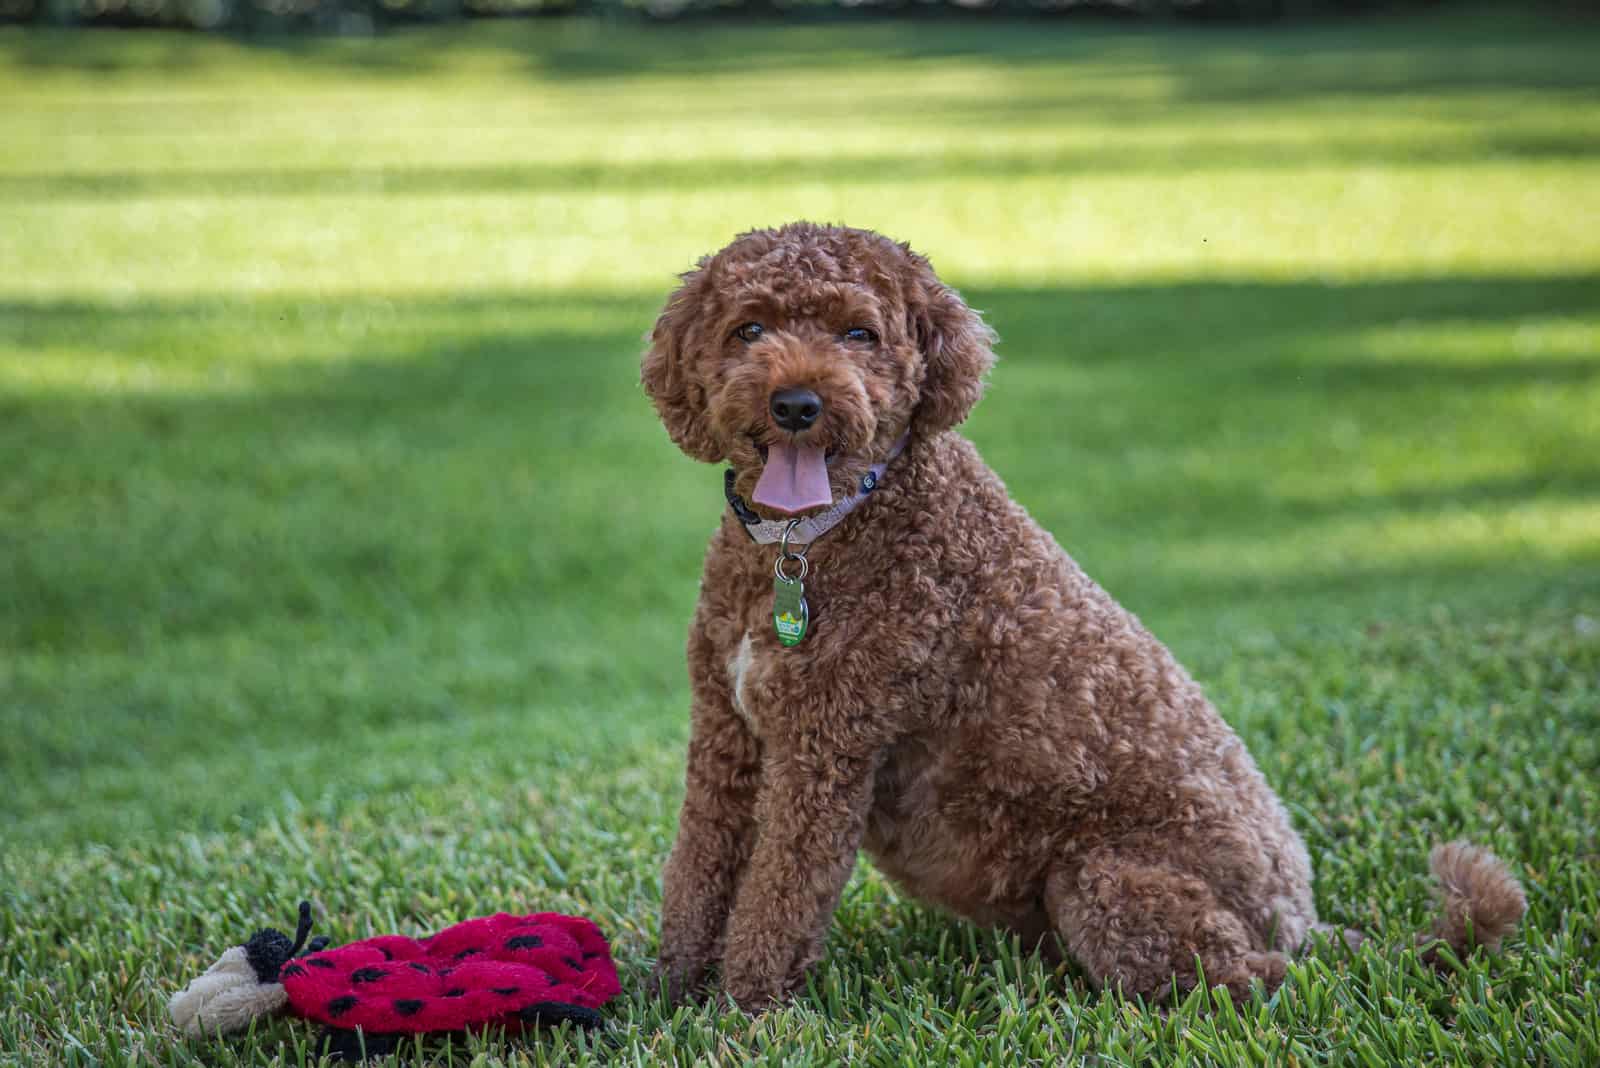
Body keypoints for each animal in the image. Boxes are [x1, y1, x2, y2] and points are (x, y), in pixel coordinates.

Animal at [636, 219, 1523, 1010]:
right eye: (748, 328)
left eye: (860, 333)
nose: (796, 403)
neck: (807, 540)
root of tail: (1304, 920)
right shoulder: (727, 736)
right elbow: (698, 873)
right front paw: (667, 996)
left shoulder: (824, 750)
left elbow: (778, 898)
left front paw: (742, 1014)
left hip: (1105, 878)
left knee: (1254, 982)